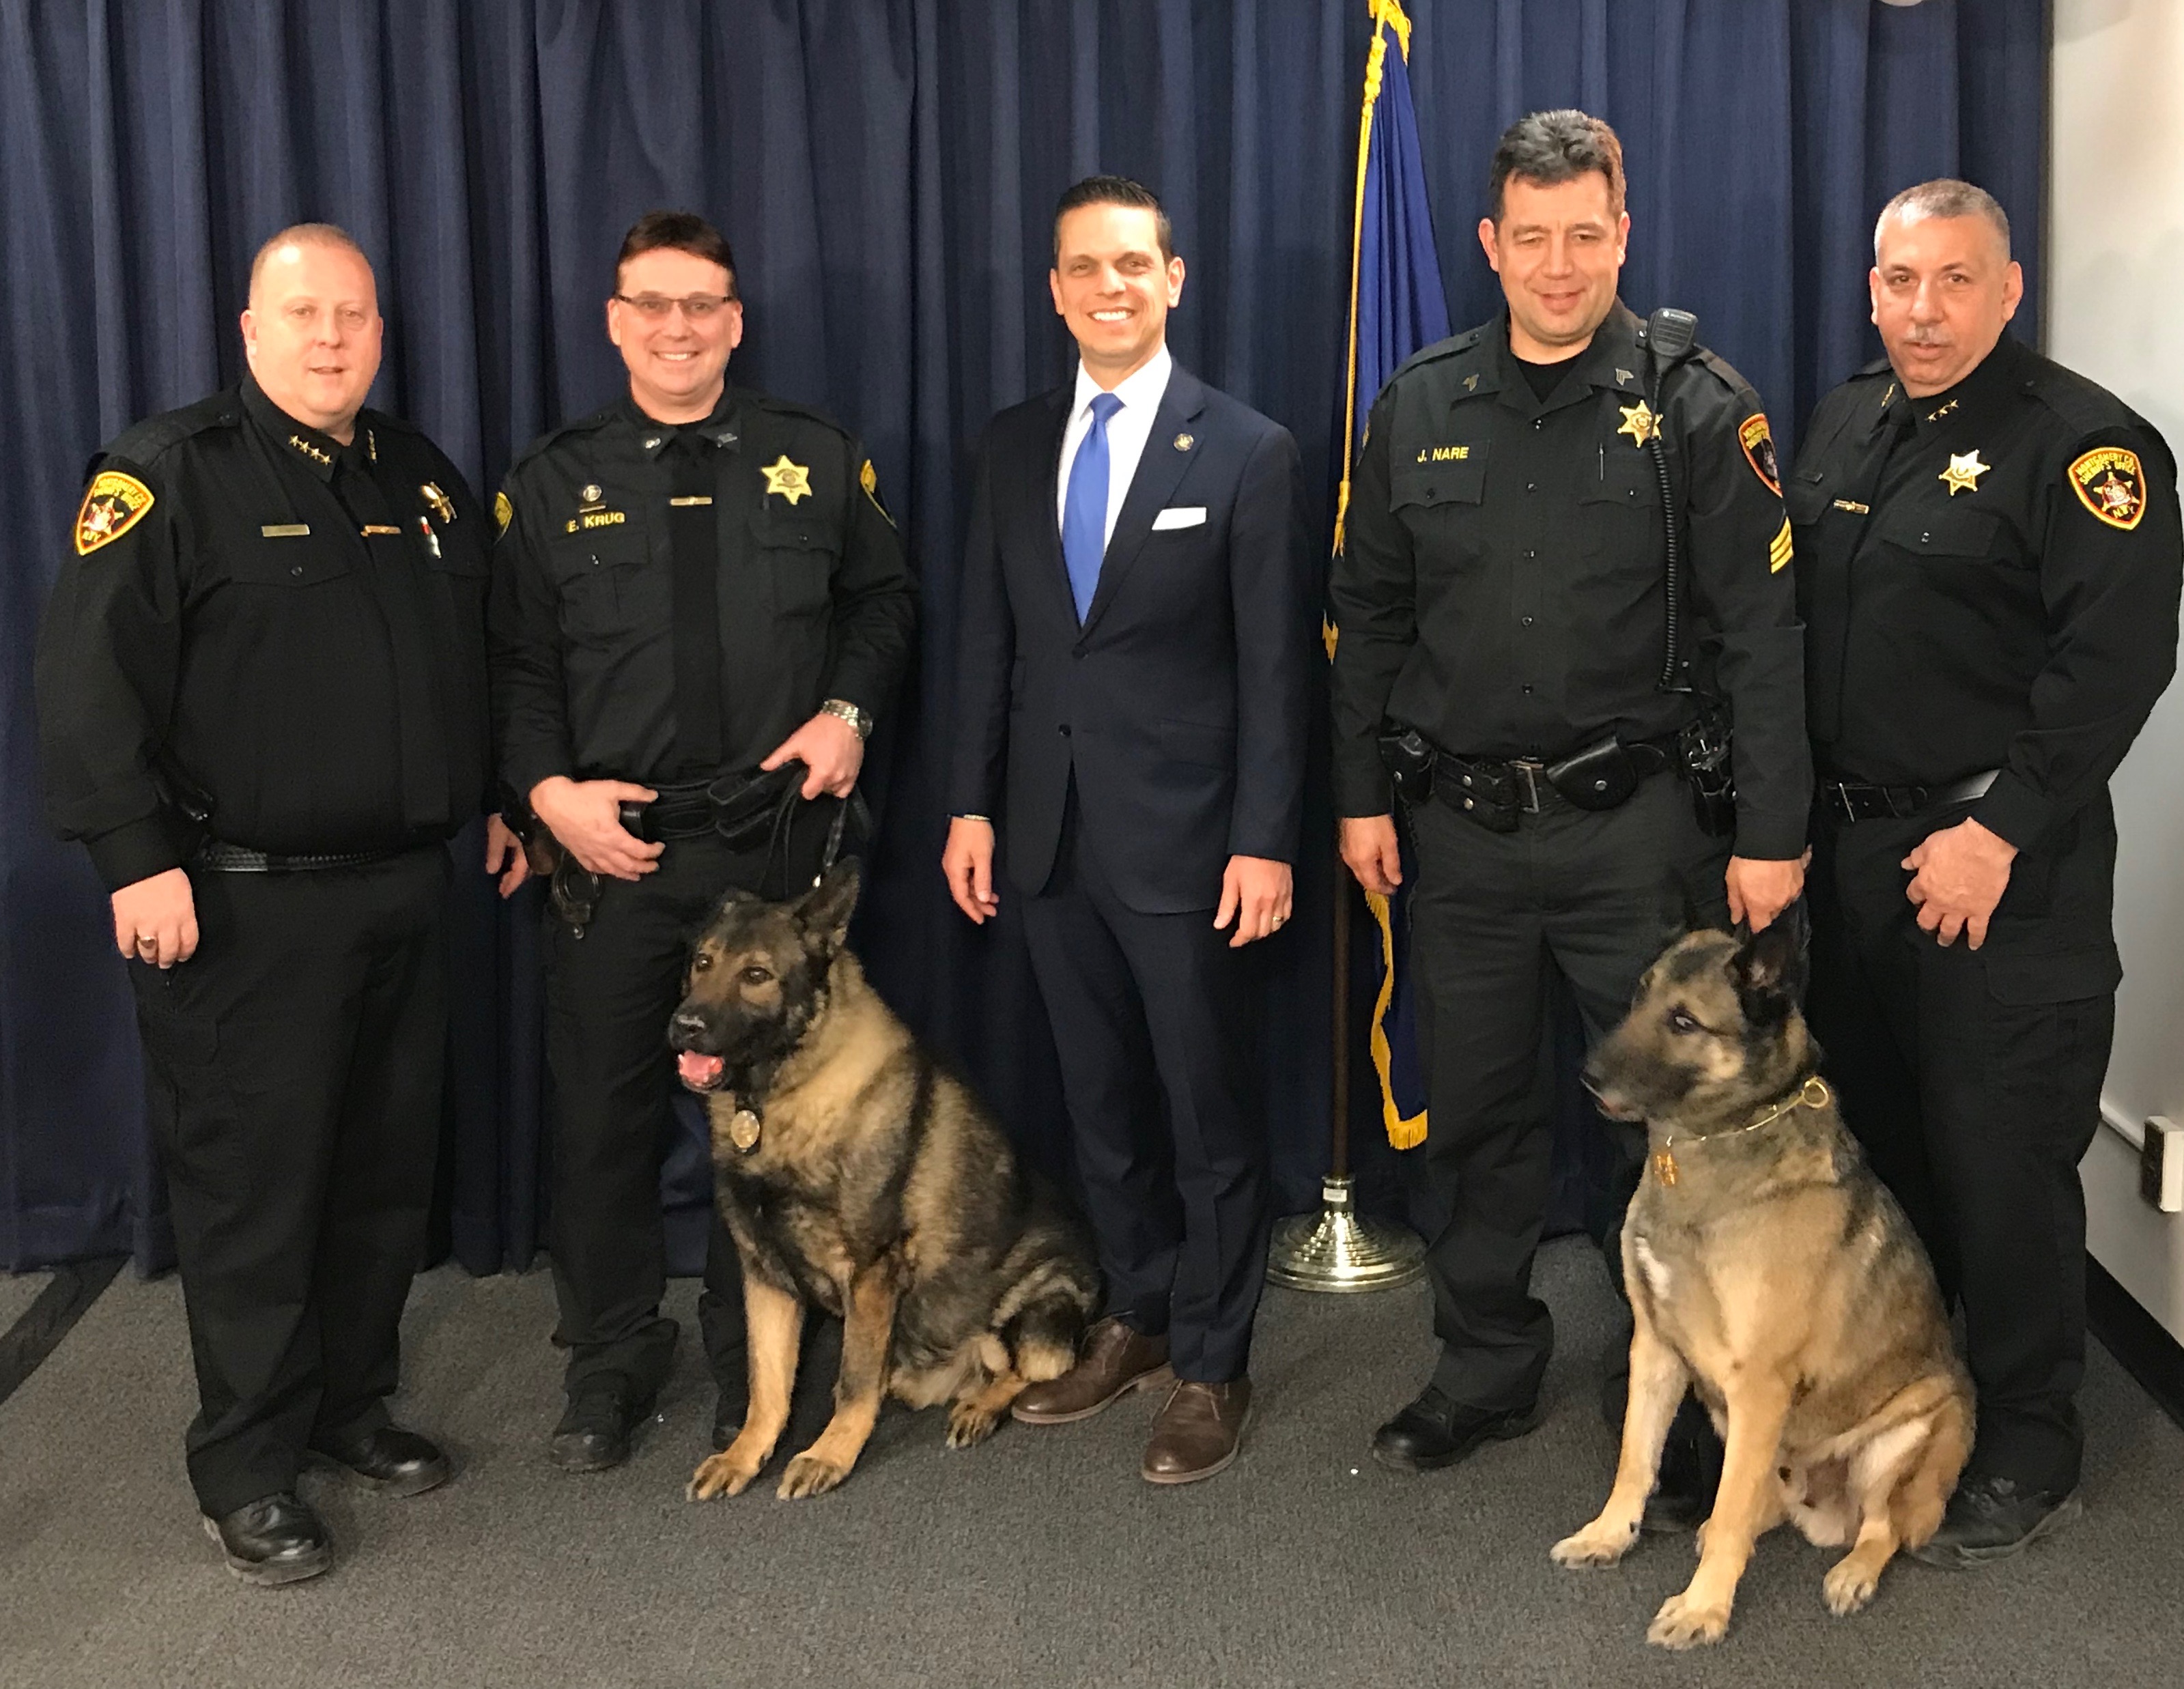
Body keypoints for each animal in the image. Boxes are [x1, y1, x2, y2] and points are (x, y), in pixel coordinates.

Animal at [668, 859, 1100, 1501]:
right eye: (702, 962)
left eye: (756, 975)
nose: (684, 1027)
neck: (779, 1096)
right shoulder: (764, 1274)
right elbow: (766, 1383)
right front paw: (744, 1455)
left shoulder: (870, 1271)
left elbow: (853, 1378)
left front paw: (828, 1454)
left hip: (1038, 1306)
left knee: (1025, 1371)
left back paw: (978, 1407)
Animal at [1551, 909, 1972, 1649]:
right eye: (1639, 998)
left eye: (1684, 1021)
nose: (1587, 1077)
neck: (1710, 1139)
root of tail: (1824, 1507)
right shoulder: (1655, 1351)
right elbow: (1635, 1460)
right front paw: (1608, 1535)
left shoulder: (1758, 1382)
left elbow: (1727, 1509)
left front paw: (1703, 1608)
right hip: (1736, 1421)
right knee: (1758, 1501)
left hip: (1906, 1434)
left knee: (1881, 1527)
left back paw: (1852, 1571)